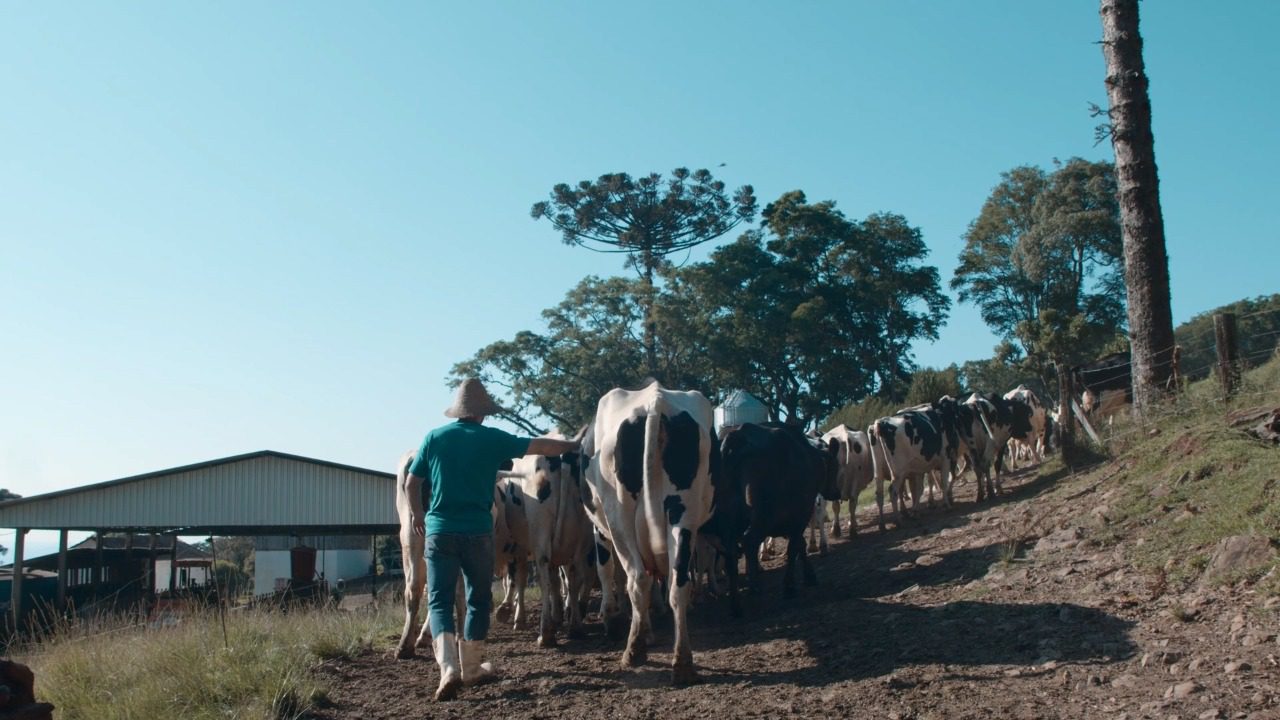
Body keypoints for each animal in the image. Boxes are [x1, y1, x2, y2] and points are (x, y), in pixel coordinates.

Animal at [583, 379, 721, 681]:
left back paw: (633, 651)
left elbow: (606, 570)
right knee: (677, 583)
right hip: (683, 513)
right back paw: (682, 663)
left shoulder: (600, 530)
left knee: (637, 578)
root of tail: (654, 400)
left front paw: (615, 618)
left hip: (619, 515)